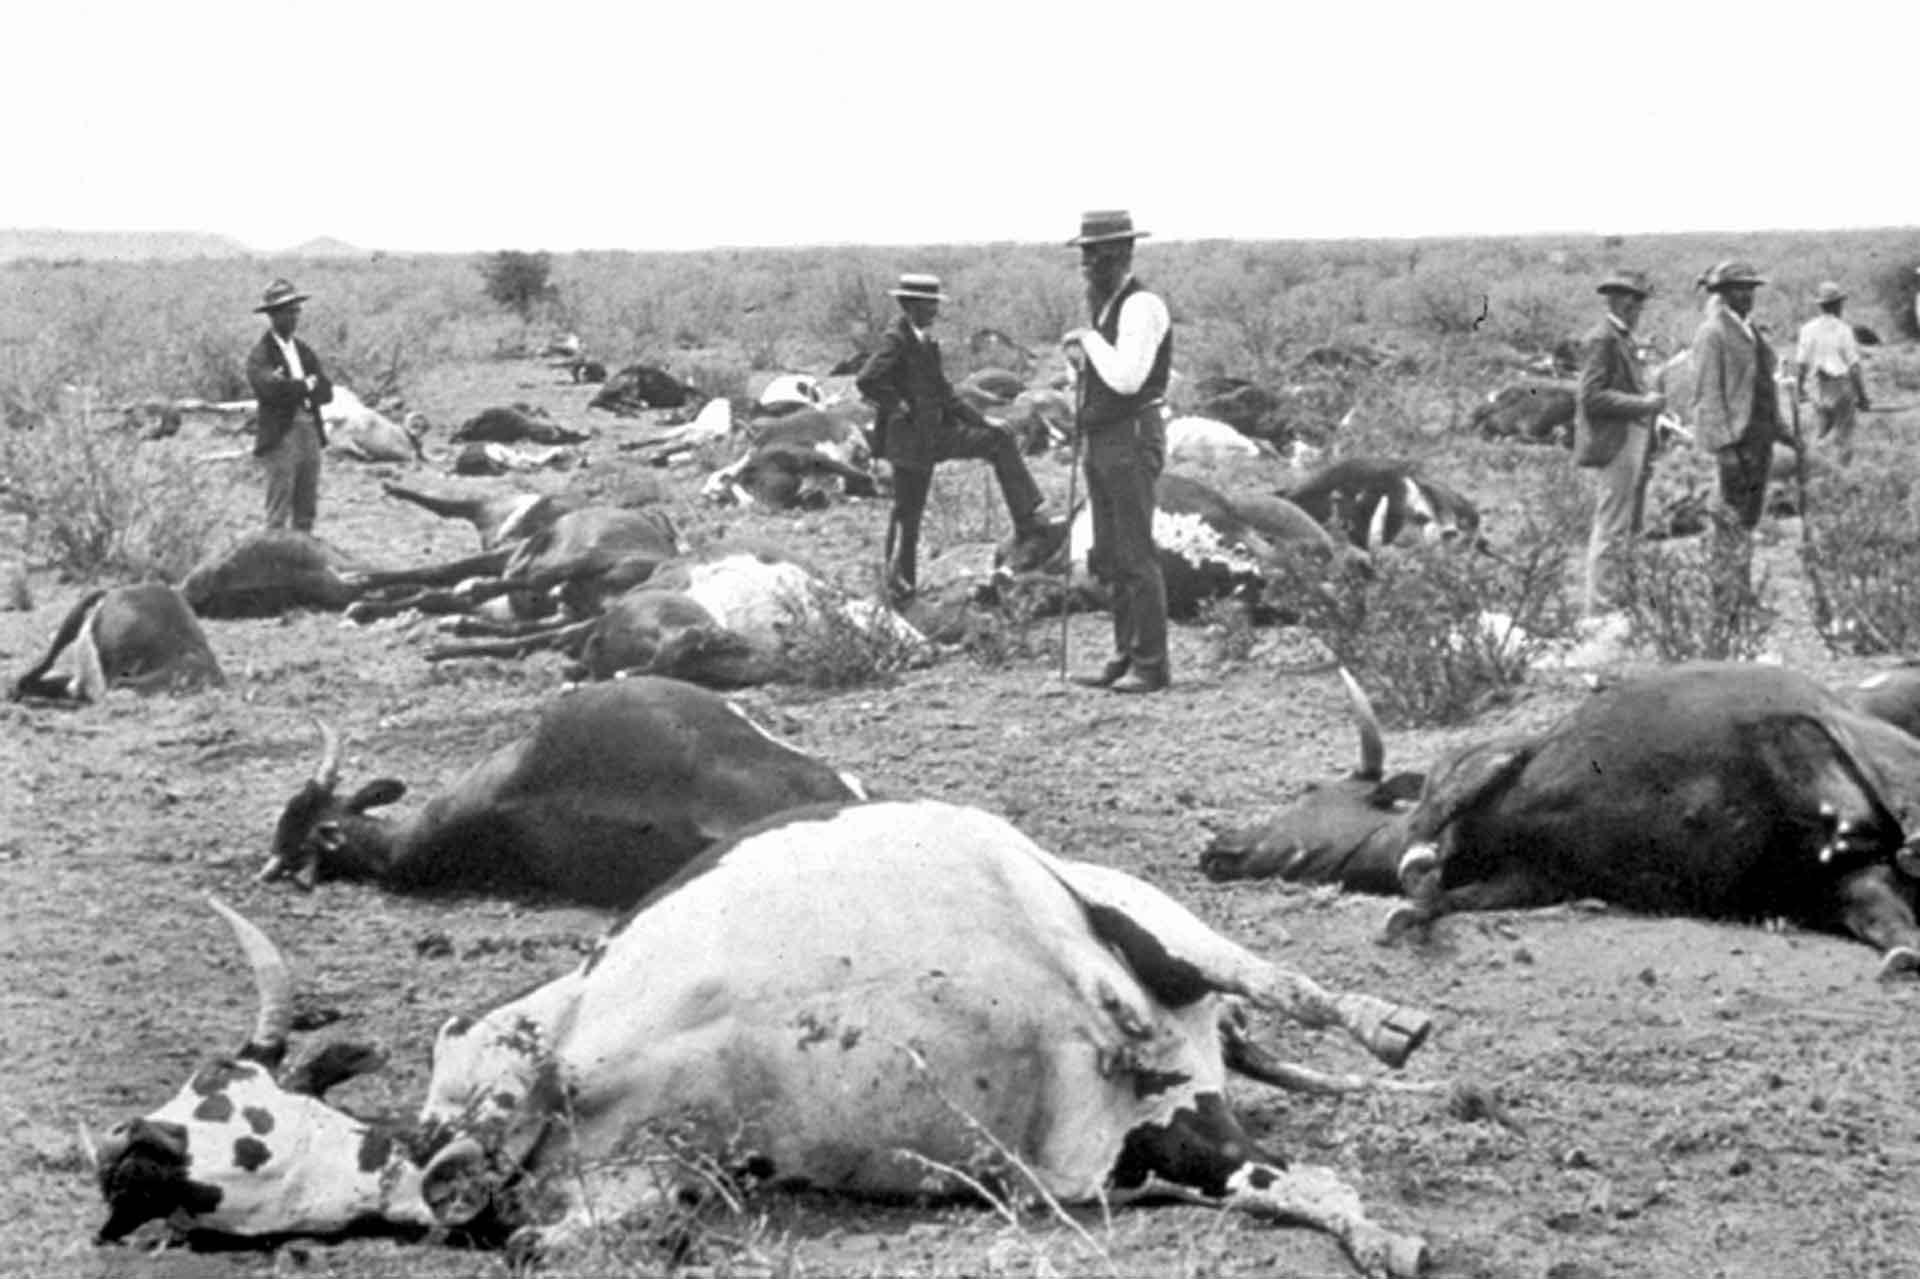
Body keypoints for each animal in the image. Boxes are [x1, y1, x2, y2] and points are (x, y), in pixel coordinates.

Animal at [93, 806, 1443, 1267]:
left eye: (224, 1091)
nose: (122, 1153)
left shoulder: (528, 1034)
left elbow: (513, 1079)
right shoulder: (649, 1173)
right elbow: (534, 1227)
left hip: (1135, 912)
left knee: (1270, 976)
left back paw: (1395, 1024)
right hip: (1158, 1147)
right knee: (1297, 1179)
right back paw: (1388, 1237)